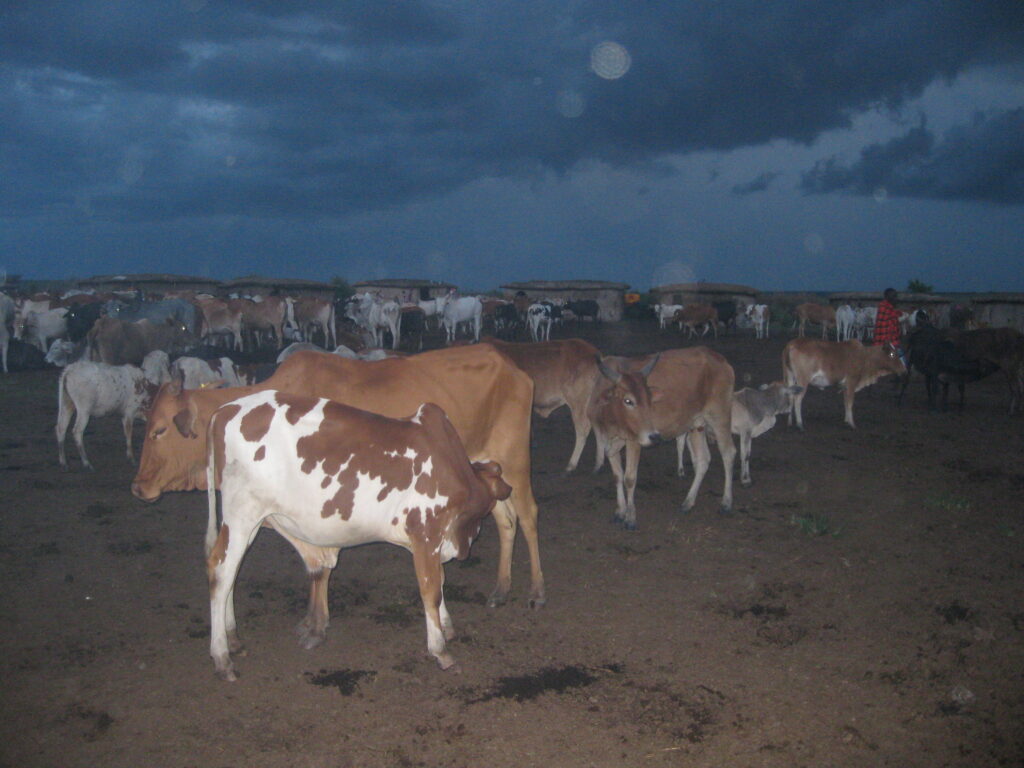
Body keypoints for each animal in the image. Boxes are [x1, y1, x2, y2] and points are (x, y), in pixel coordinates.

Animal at [132, 348, 540, 638]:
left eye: (160, 430)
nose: (138, 486)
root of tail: (508, 362)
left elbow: (320, 564)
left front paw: (315, 623)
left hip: (515, 460)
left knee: (529, 517)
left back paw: (536, 592)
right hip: (488, 464)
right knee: (506, 520)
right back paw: (501, 588)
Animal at [204, 393, 512, 684]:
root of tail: (224, 410)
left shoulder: (432, 542)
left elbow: (440, 581)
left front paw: (446, 627)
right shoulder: (426, 532)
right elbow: (431, 590)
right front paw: (441, 651)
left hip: (250, 521)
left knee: (231, 572)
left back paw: (233, 639)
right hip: (242, 514)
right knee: (221, 570)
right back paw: (221, 657)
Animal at [585, 348, 737, 528]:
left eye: (649, 399)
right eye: (628, 400)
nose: (654, 436)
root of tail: (719, 358)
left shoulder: (635, 440)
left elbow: (629, 478)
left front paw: (630, 517)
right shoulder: (611, 440)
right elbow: (617, 475)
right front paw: (620, 511)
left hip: (720, 416)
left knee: (728, 453)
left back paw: (726, 503)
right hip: (696, 424)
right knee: (703, 460)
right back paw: (687, 503)